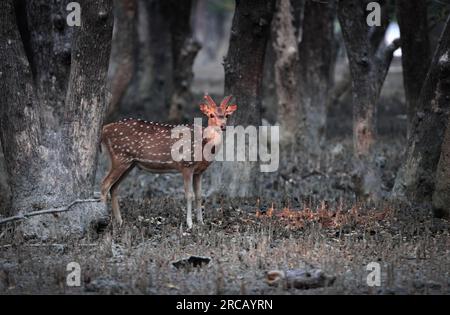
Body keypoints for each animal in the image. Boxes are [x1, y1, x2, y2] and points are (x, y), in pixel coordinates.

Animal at [100, 95, 237, 228]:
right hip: (120, 157)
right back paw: (103, 221)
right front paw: (190, 224)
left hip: (129, 163)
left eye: (227, 115)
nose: (223, 126)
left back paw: (120, 221)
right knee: (104, 185)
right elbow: (189, 195)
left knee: (114, 188)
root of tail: (105, 129)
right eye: (211, 115)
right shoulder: (186, 164)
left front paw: (201, 222)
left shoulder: (199, 171)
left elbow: (199, 195)